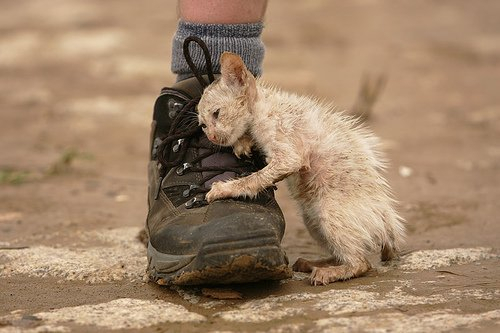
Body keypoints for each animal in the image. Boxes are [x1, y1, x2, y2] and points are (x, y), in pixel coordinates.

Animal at [197, 52, 404, 286]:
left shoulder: (287, 153)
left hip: (329, 212)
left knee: (361, 263)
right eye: (203, 125)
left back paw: (329, 272)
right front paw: (243, 143)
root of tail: (388, 226)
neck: (263, 106)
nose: (212, 137)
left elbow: (255, 178)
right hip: (312, 220)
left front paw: (222, 189)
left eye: (217, 113)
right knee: (345, 254)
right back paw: (313, 264)